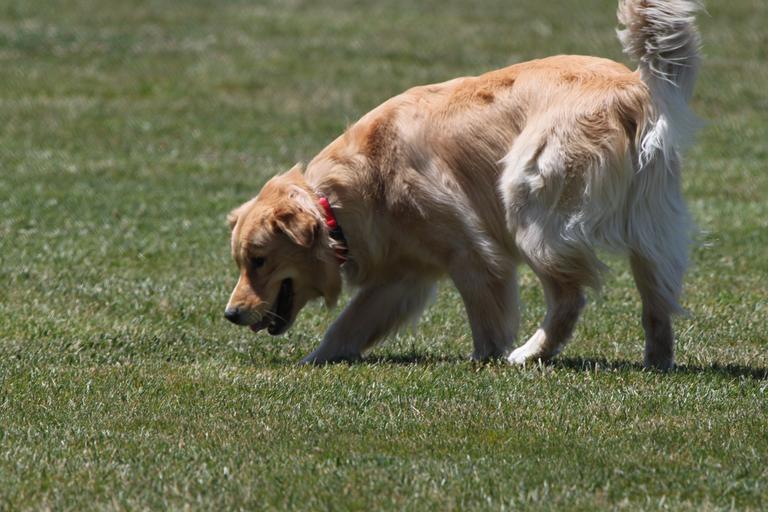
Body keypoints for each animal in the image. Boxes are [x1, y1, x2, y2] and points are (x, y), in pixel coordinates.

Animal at [224, 0, 701, 369]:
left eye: (259, 260)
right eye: (243, 262)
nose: (230, 314)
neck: (339, 202)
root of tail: (634, 86)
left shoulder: (472, 252)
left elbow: (486, 318)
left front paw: (485, 359)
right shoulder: (402, 275)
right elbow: (348, 324)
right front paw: (316, 360)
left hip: (527, 201)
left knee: (570, 297)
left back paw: (528, 355)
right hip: (650, 227)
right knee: (657, 303)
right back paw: (657, 362)